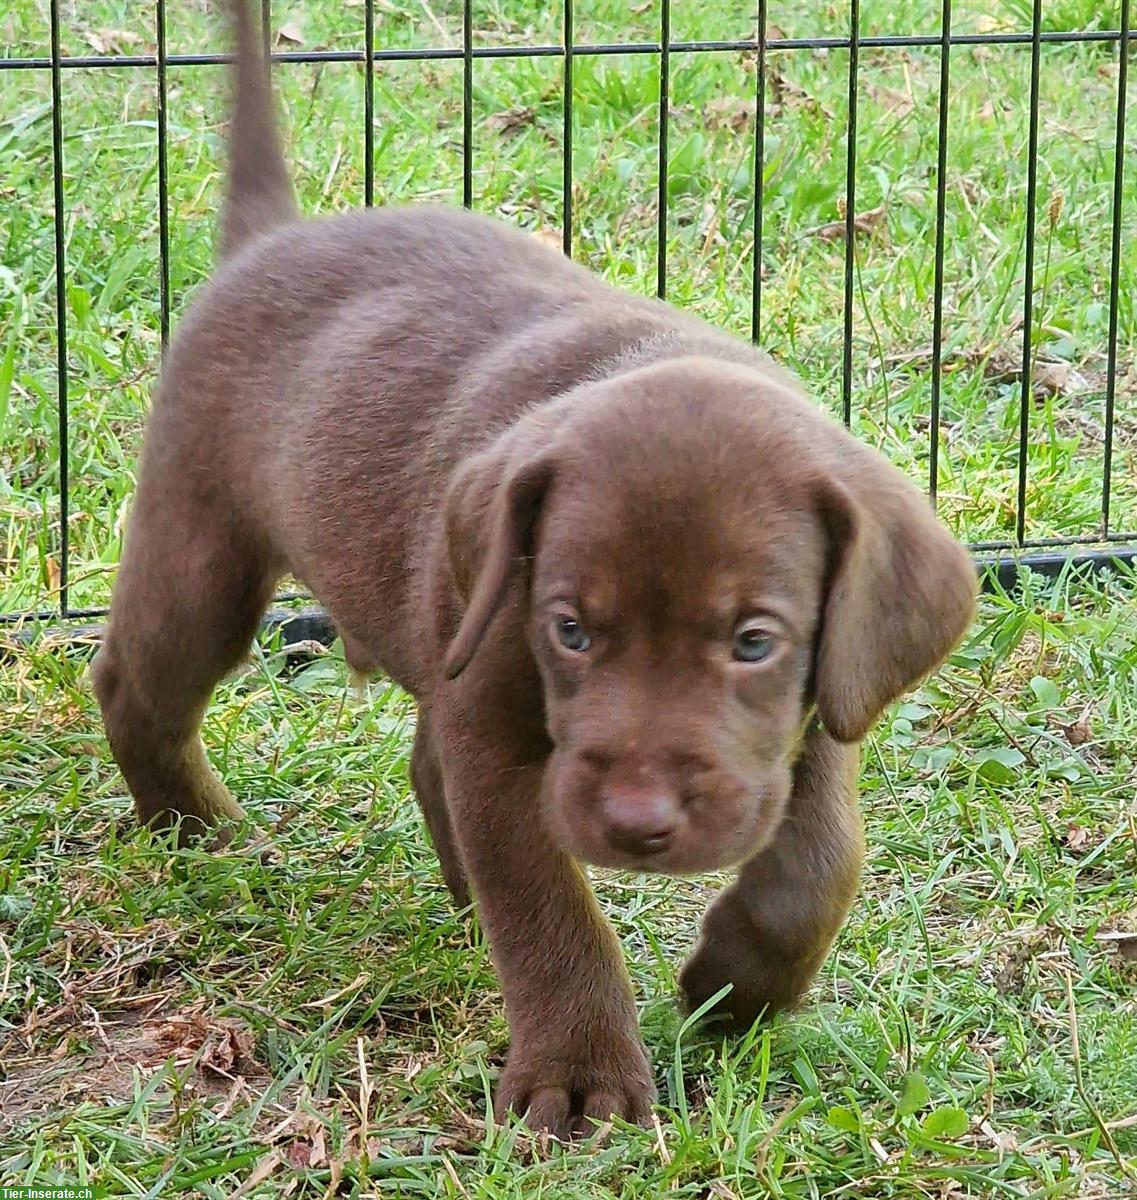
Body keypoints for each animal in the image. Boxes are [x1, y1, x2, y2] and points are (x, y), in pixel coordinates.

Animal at [91, 0, 978, 1137]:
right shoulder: (503, 740)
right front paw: (582, 1076)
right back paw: (197, 830)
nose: (637, 827)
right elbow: (550, 911)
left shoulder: (821, 709)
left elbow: (817, 867)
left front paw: (733, 989)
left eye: (753, 641)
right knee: (136, 684)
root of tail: (272, 235)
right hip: (203, 546)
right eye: (571, 629)